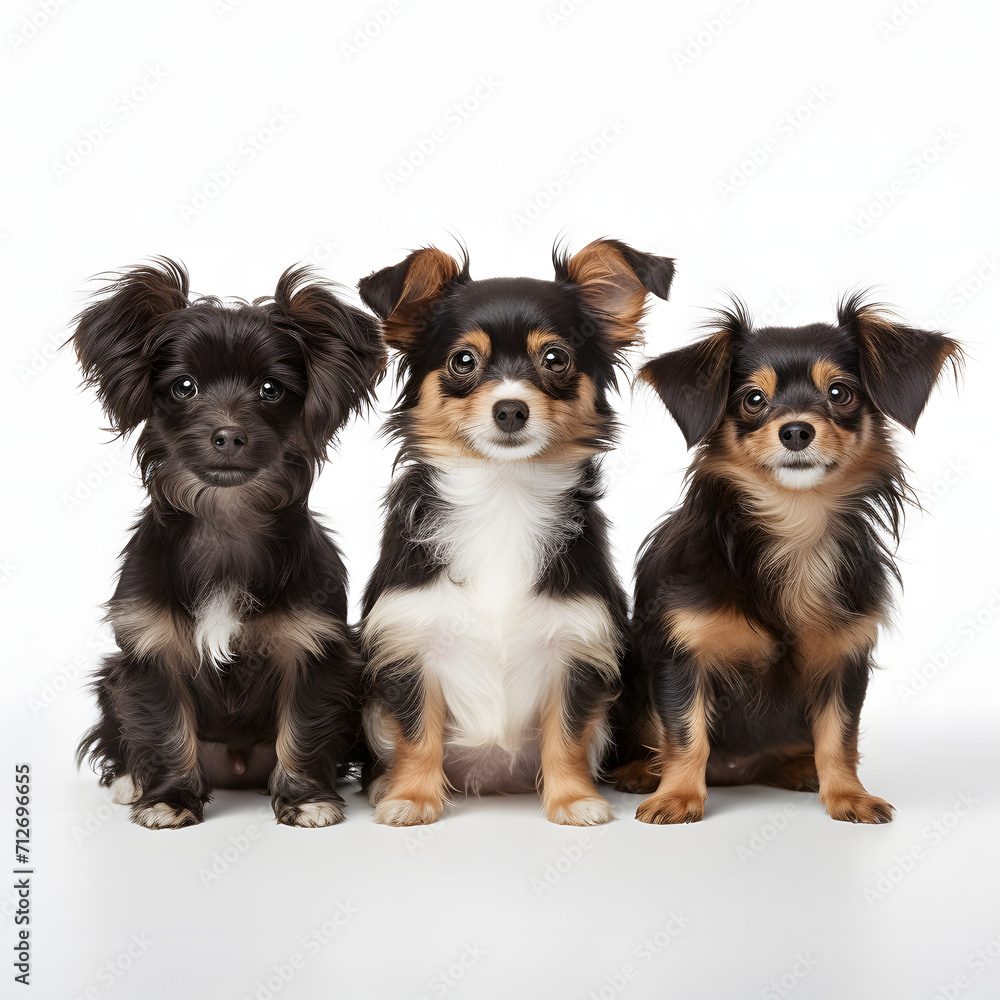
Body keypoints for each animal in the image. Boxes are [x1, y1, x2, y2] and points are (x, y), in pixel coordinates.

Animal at [73, 259, 385, 828]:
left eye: (270, 390)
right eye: (184, 387)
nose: (228, 435)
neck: (227, 518)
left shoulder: (313, 651)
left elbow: (303, 728)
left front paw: (306, 799)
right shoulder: (152, 652)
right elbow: (164, 728)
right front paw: (169, 798)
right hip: (112, 676)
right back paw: (131, 781)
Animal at [356, 239, 674, 826]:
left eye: (555, 359)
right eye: (463, 361)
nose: (510, 409)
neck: (503, 495)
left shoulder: (577, 645)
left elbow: (567, 735)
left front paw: (573, 800)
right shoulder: (410, 641)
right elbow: (416, 731)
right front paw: (410, 797)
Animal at [615, 293, 961, 824]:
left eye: (840, 393)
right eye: (753, 400)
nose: (796, 430)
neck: (795, 525)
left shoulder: (845, 659)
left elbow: (839, 736)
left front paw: (848, 796)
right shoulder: (681, 655)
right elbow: (686, 733)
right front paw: (677, 797)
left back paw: (801, 769)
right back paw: (640, 771)